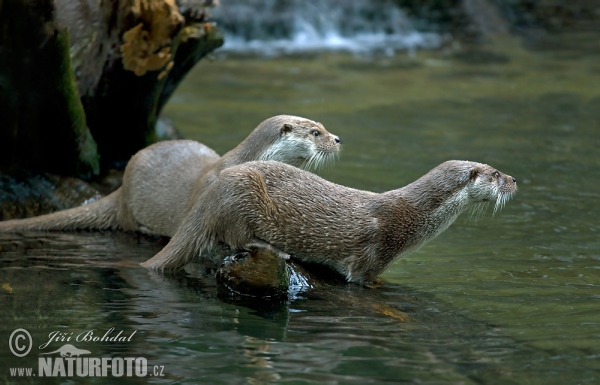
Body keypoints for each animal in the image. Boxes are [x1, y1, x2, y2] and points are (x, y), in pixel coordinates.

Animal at [141, 159, 516, 282]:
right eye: (496, 173)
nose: (515, 180)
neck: (412, 217)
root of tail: (208, 197)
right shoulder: (371, 255)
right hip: (241, 195)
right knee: (234, 237)